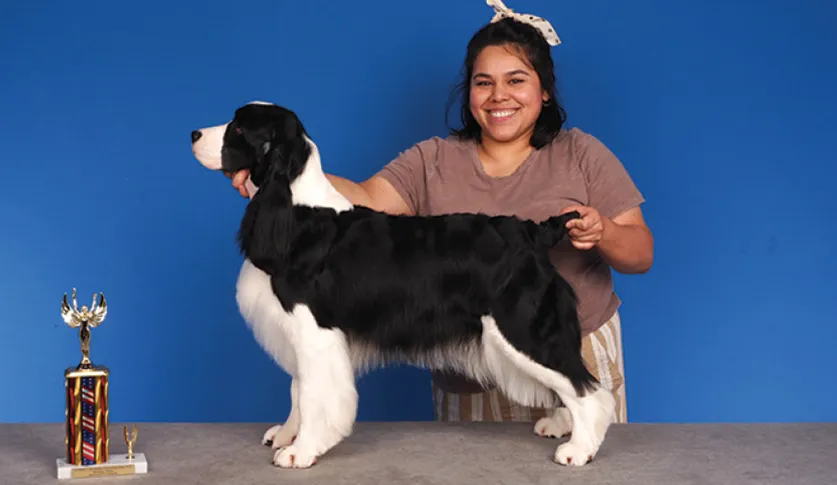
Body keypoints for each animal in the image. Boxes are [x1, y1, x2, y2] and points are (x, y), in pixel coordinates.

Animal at [189, 102, 612, 468]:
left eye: (238, 127)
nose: (193, 133)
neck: (293, 209)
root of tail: (534, 232)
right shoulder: (296, 331)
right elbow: (297, 389)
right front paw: (287, 435)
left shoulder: (316, 331)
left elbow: (312, 394)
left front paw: (300, 451)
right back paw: (560, 426)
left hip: (521, 328)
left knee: (589, 392)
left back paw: (579, 449)